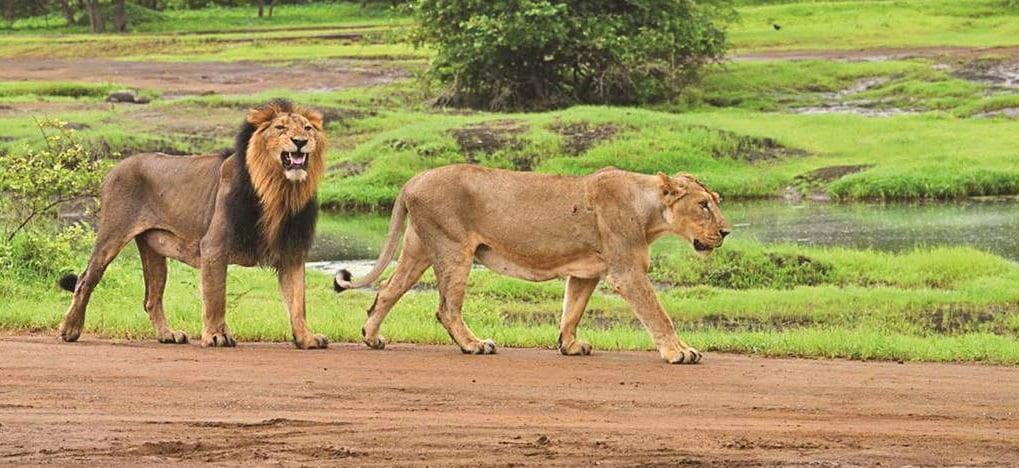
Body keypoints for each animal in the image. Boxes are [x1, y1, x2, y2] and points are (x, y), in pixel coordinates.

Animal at [57, 99, 328, 348]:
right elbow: (216, 297)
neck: (280, 191)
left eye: (307, 128)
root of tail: (115, 167)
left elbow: (298, 301)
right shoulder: (213, 246)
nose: (300, 141)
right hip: (111, 234)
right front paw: (217, 335)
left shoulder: (292, 251)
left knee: (151, 299)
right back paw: (70, 329)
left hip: (153, 248)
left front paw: (306, 338)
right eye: (281, 128)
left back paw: (168, 335)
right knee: (85, 280)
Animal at [332, 167, 725, 365]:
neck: (649, 209)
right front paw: (679, 352)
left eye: (716, 201)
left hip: (419, 249)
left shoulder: (585, 272)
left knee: (388, 289)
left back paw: (371, 336)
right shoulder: (626, 272)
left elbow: (572, 310)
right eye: (704, 204)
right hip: (453, 248)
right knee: (446, 309)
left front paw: (569, 346)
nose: (726, 231)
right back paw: (474, 345)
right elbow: (658, 314)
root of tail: (411, 181)